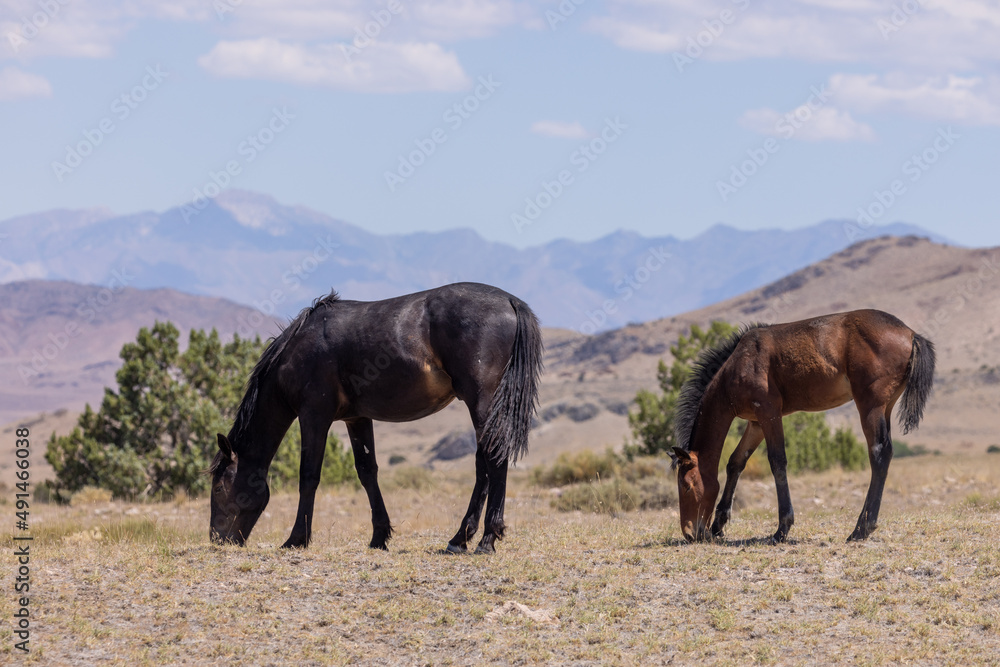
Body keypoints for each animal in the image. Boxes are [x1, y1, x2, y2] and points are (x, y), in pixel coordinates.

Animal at [207, 282, 544, 552]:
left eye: (219, 487)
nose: (217, 540)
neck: (298, 350)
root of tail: (510, 301)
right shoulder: (356, 419)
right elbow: (367, 472)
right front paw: (379, 536)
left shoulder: (314, 416)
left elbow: (309, 476)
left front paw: (296, 539)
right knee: (483, 463)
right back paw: (460, 538)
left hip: (482, 402)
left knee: (493, 459)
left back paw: (486, 539)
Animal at [668, 310, 932, 544]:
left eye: (687, 486)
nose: (690, 533)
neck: (738, 365)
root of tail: (909, 333)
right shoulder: (755, 423)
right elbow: (736, 462)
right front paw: (718, 526)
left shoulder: (769, 414)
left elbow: (777, 462)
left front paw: (782, 530)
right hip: (885, 407)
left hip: (870, 406)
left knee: (878, 453)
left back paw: (860, 529)